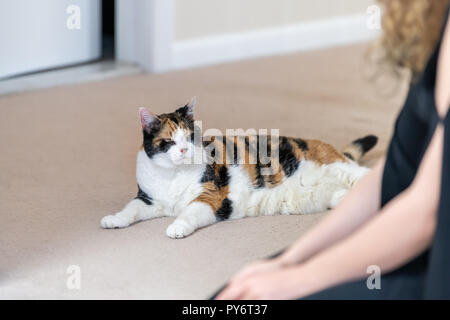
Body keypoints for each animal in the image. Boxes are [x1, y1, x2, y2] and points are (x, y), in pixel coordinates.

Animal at [101, 97, 376, 238]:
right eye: (169, 141)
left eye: (190, 137)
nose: (184, 150)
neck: (172, 176)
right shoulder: (147, 199)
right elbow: (131, 209)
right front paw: (113, 219)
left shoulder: (211, 195)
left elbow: (189, 212)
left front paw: (177, 227)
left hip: (342, 168)